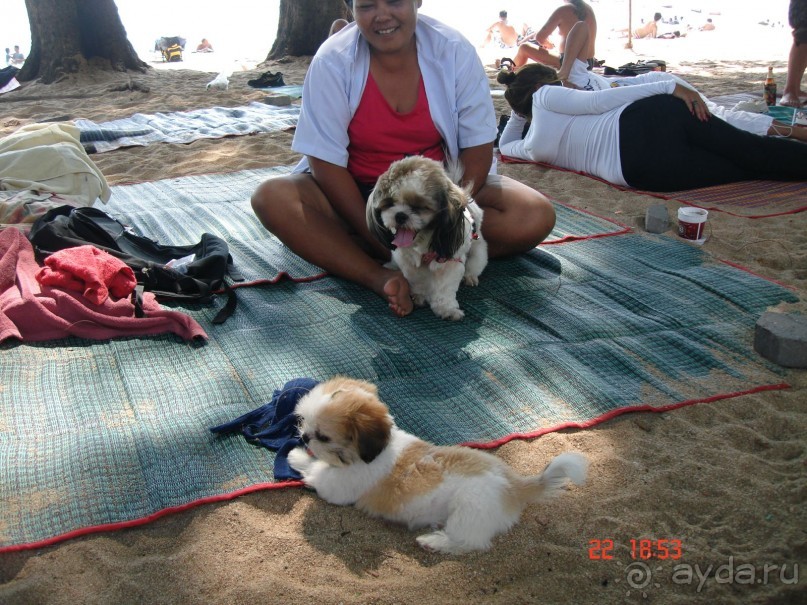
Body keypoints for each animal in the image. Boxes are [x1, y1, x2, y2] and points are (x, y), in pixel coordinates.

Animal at [288, 378, 588, 552]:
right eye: (303, 421)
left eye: (323, 436)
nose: (304, 437)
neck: (375, 451)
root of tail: (515, 486)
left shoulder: (341, 485)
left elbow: (318, 472)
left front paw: (297, 457)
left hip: (469, 511)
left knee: (471, 541)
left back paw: (434, 542)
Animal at [366, 155, 486, 320]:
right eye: (389, 203)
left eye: (419, 206)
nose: (400, 215)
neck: (423, 240)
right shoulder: (407, 261)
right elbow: (418, 281)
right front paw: (419, 296)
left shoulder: (450, 261)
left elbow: (444, 289)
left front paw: (446, 309)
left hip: (477, 250)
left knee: (474, 264)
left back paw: (470, 277)